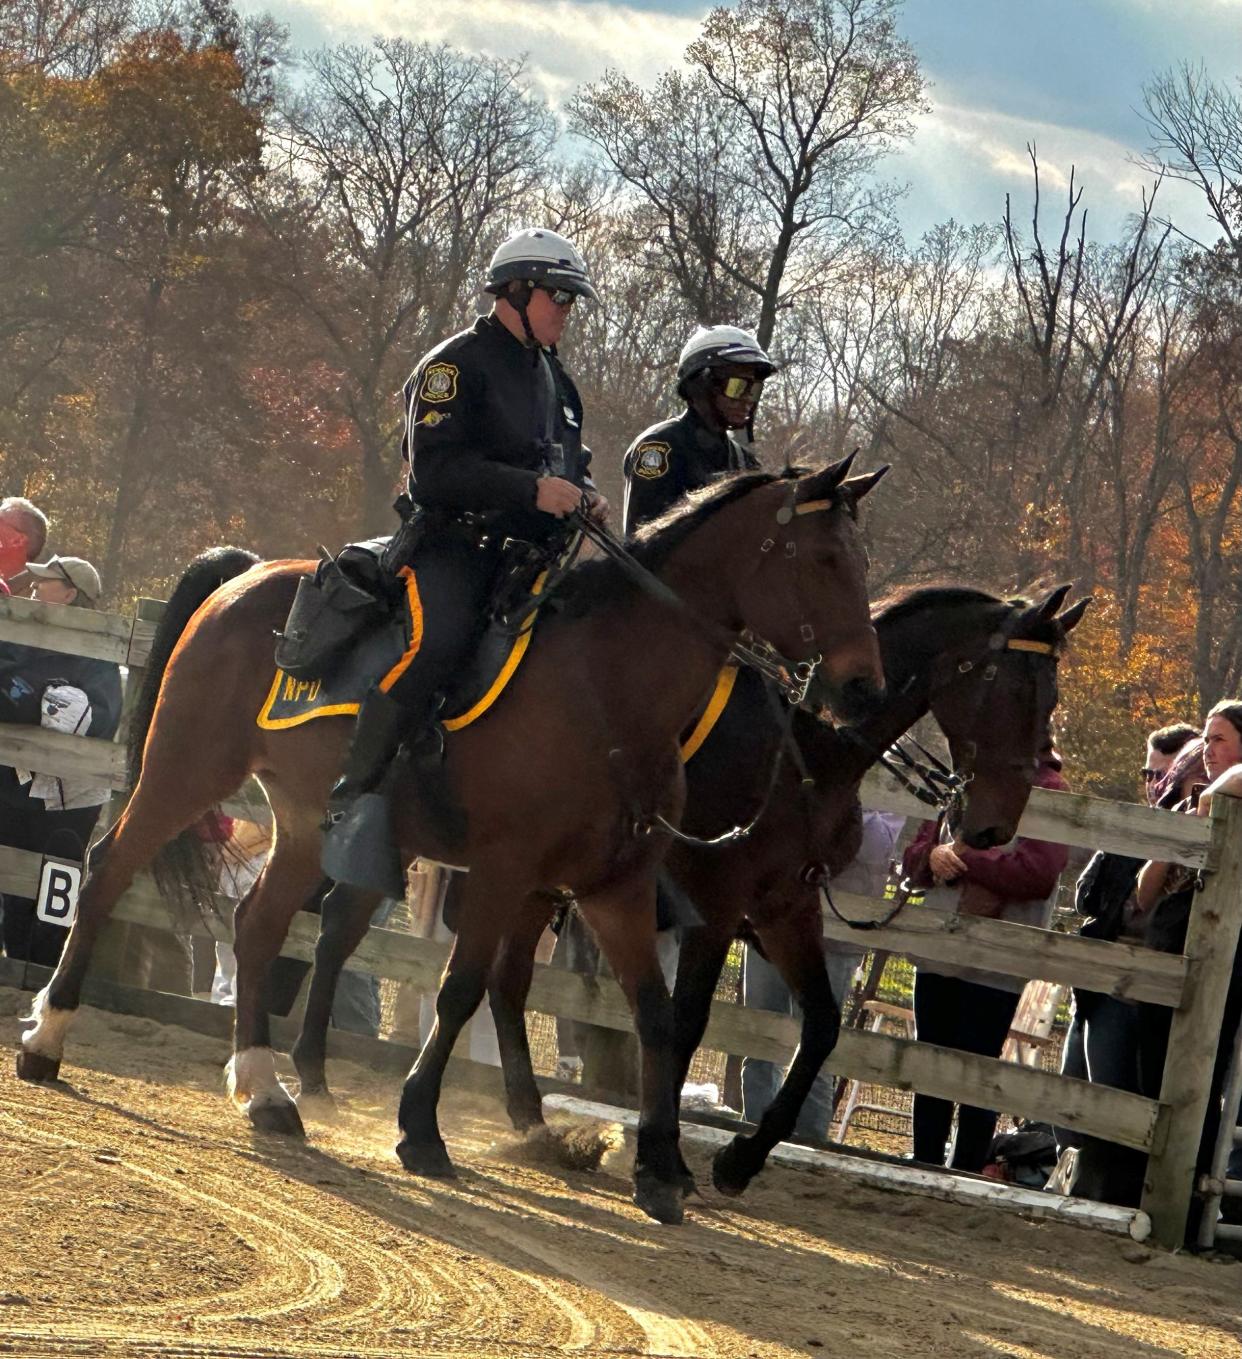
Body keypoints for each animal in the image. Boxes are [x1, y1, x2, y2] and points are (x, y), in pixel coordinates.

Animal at [21, 462, 891, 1228]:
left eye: (862, 562)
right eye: (823, 559)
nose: (863, 688)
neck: (607, 688)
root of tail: (247, 575)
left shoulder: (616, 888)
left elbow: (656, 1015)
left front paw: (658, 1168)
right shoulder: (507, 872)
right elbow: (462, 987)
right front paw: (420, 1129)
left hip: (303, 824)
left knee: (259, 927)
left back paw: (267, 1090)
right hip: (186, 769)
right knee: (108, 871)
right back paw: (47, 1039)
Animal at [288, 578, 1087, 1195]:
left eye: (1052, 695)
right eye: (1013, 685)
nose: (993, 827)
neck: (806, 751)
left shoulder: (784, 908)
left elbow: (822, 1025)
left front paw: (738, 1158)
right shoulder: (718, 907)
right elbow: (689, 1019)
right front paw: (663, 1148)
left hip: (528, 882)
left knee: (483, 973)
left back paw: (518, 1116)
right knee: (350, 934)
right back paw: (319, 1073)